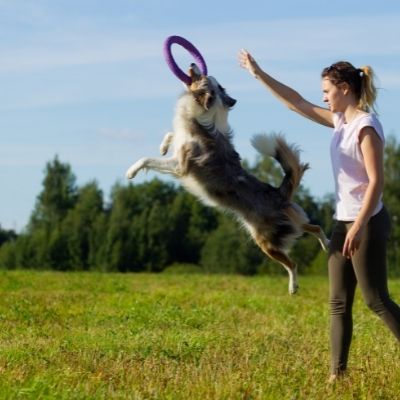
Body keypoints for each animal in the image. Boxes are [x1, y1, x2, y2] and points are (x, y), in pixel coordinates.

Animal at [126, 63, 328, 294]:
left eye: (201, 77)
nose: (193, 65)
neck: (205, 113)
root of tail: (279, 194)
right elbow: (171, 135)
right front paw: (163, 145)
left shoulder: (180, 165)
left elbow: (147, 159)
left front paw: (131, 171)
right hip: (290, 222)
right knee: (314, 227)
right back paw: (326, 244)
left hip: (266, 240)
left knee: (292, 263)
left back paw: (293, 287)